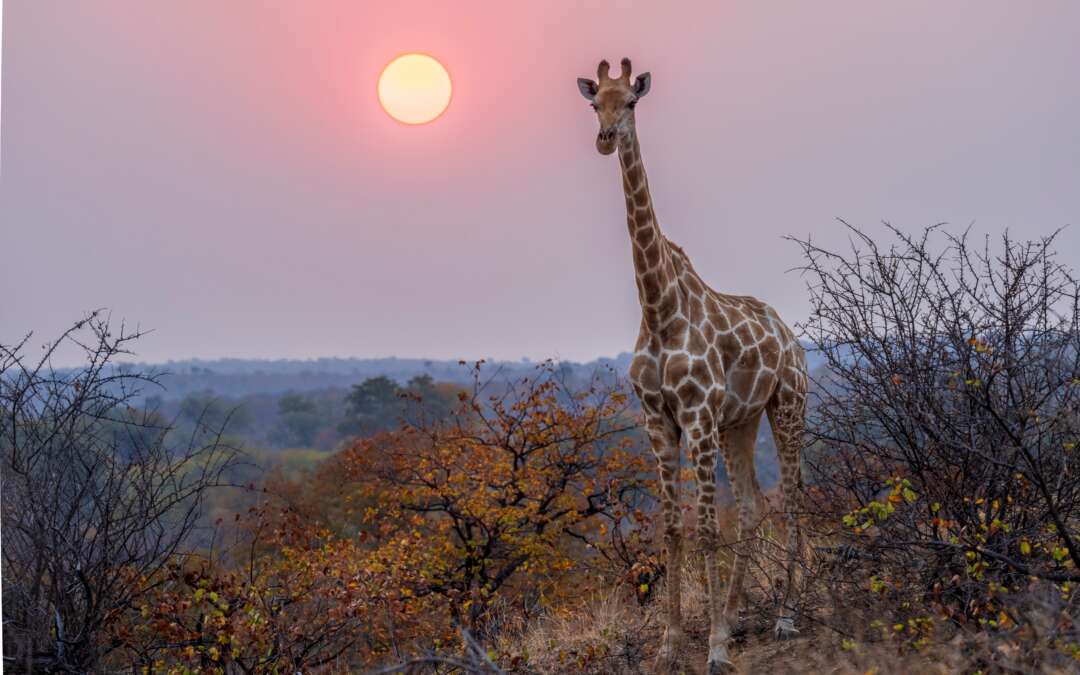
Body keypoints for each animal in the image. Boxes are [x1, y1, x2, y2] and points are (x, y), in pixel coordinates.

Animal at [578, 60, 807, 669]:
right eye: (595, 102)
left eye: (632, 101)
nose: (605, 139)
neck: (658, 308)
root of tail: (791, 336)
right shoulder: (659, 419)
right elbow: (672, 531)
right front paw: (671, 644)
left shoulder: (697, 414)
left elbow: (705, 529)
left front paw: (715, 651)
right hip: (740, 422)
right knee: (752, 505)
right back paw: (734, 616)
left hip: (788, 405)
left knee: (792, 500)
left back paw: (785, 618)